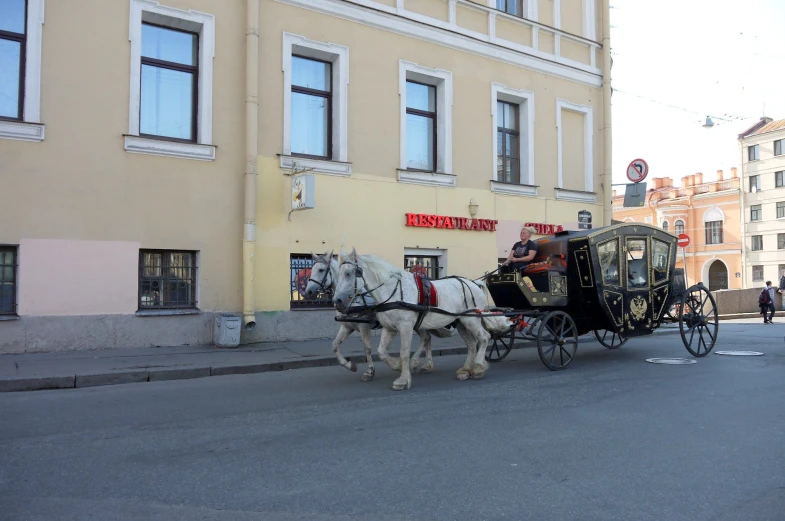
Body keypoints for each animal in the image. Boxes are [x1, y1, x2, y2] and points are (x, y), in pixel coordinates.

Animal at [300, 253, 450, 382]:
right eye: (311, 269)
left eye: (321, 270)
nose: (308, 292)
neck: (354, 299)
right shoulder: (347, 326)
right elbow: (335, 345)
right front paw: (350, 365)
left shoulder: (364, 326)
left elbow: (367, 348)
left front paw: (370, 372)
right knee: (427, 338)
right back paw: (426, 365)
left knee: (426, 338)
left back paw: (417, 363)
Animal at [330, 248, 508, 390]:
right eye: (338, 274)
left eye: (348, 273)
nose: (337, 301)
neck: (393, 291)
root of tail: (474, 283)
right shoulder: (389, 328)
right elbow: (381, 352)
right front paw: (397, 366)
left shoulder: (405, 326)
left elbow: (404, 352)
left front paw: (403, 379)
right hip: (462, 322)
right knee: (471, 344)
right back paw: (465, 370)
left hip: (471, 319)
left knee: (484, 337)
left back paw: (478, 367)